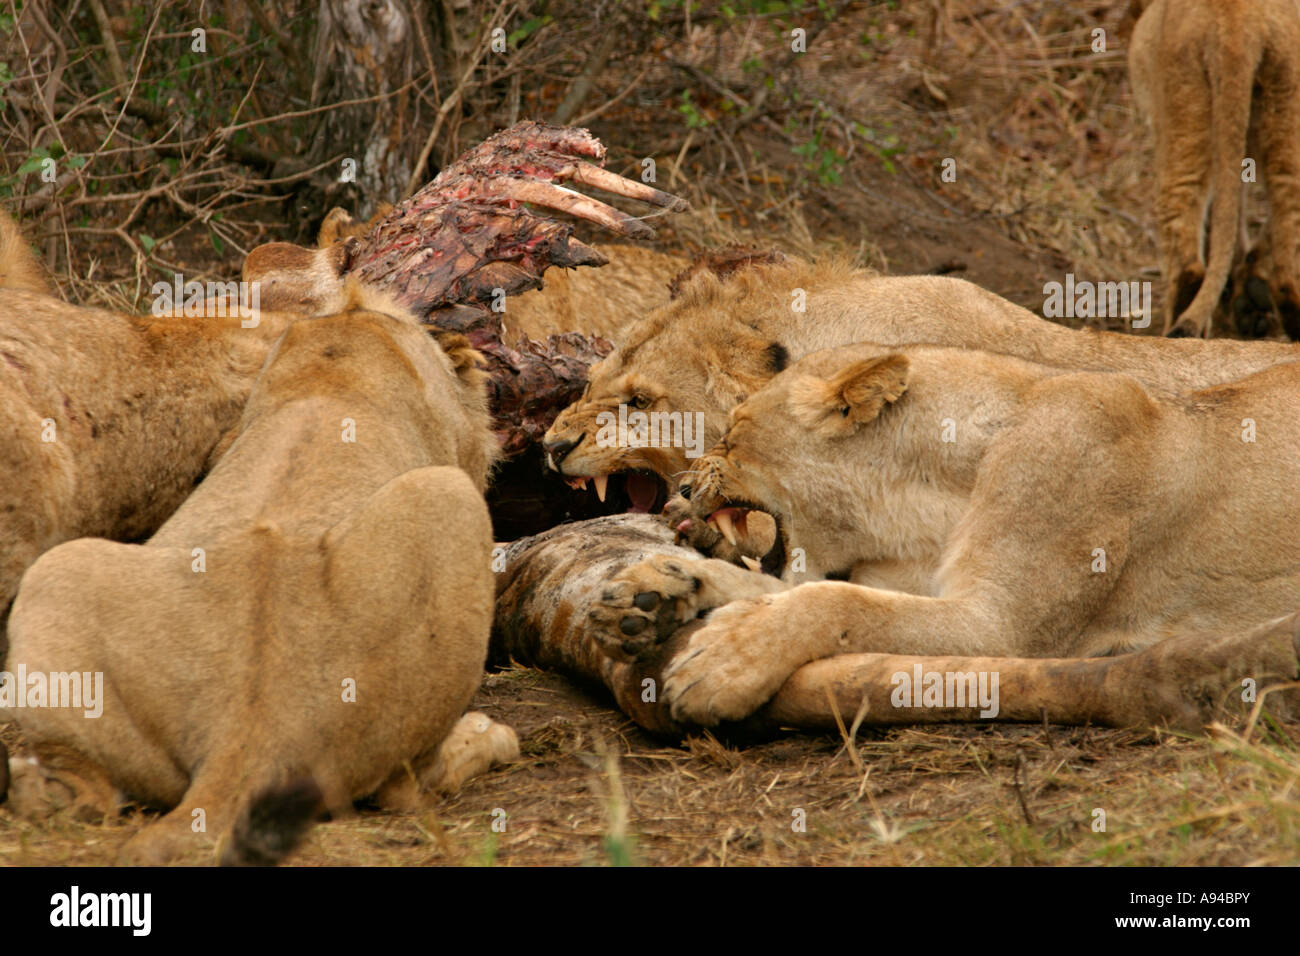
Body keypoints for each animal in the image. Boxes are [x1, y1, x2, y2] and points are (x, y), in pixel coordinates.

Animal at [0, 281, 518, 864]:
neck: (336, 369)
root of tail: (245, 734)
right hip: (446, 496)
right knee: (406, 787)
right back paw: (487, 737)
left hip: (56, 571)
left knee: (85, 793)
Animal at [585, 341, 1300, 726]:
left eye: (732, 433)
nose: (681, 487)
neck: (935, 499)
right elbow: (780, 588)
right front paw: (652, 593)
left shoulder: (1001, 629)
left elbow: (837, 601)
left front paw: (726, 662)